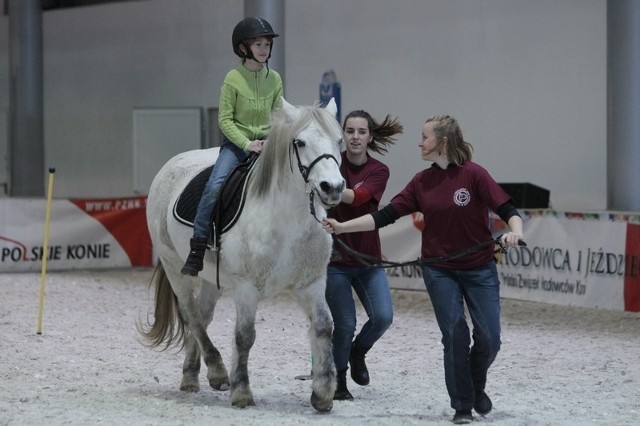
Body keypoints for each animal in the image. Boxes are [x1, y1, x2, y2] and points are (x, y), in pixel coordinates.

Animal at [139, 97, 344, 412]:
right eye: (299, 142)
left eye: (339, 140)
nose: (332, 188)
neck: (286, 221)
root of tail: (170, 166)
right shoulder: (247, 287)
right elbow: (245, 336)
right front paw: (242, 392)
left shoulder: (311, 283)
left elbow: (323, 327)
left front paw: (322, 393)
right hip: (175, 267)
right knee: (191, 314)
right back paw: (217, 371)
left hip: (211, 278)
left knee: (202, 315)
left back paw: (190, 375)